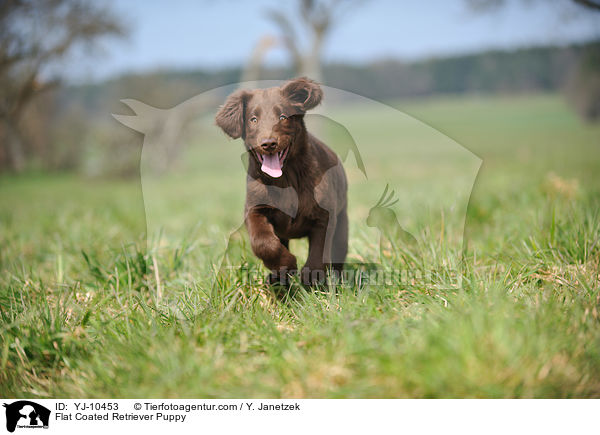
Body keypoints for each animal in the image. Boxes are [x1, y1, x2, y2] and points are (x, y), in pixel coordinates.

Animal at [216, 78, 350, 286]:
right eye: (253, 119)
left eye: (283, 117)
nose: (269, 143)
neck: (285, 178)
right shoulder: (254, 209)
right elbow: (263, 243)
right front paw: (286, 265)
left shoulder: (325, 215)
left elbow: (319, 251)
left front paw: (311, 278)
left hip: (342, 223)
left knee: (338, 253)